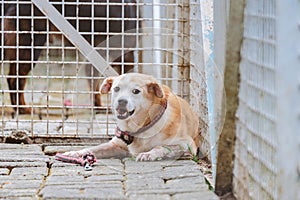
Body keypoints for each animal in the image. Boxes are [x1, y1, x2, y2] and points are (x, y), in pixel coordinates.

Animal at [63, 73, 199, 161]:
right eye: (116, 88)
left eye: (136, 91)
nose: (121, 101)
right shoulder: (116, 145)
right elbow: (92, 149)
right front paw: (75, 153)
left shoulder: (186, 143)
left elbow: (160, 146)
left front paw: (148, 154)